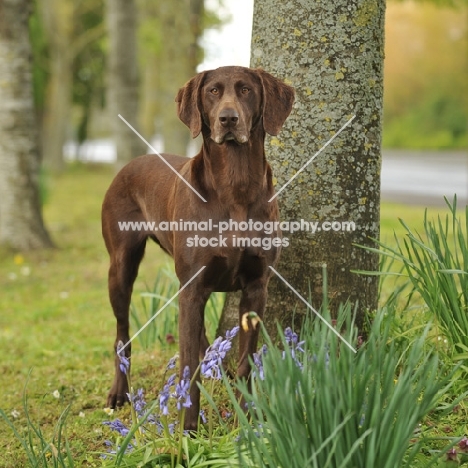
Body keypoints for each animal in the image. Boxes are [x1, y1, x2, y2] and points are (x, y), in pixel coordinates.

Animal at [101, 65, 294, 428]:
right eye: (213, 91)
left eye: (246, 90)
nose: (228, 119)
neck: (235, 183)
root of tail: (128, 165)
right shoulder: (191, 288)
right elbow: (188, 370)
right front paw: (188, 431)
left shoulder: (256, 286)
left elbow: (246, 361)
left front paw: (247, 419)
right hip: (120, 266)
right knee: (122, 333)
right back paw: (119, 392)